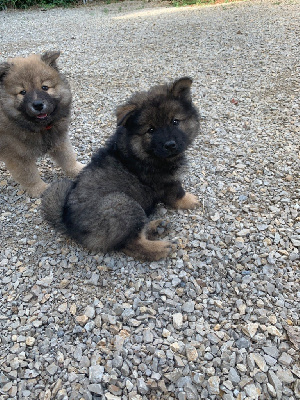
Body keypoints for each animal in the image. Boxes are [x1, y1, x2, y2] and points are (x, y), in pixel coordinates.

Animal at [40, 78, 199, 260]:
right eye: (151, 130)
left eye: (175, 122)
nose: (170, 145)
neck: (139, 150)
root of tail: (68, 223)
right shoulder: (166, 182)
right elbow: (178, 193)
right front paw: (190, 200)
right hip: (123, 204)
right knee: (131, 244)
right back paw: (159, 248)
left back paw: (156, 227)